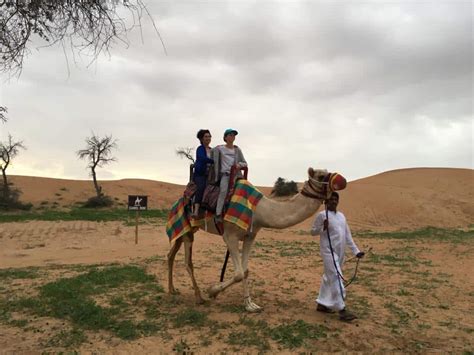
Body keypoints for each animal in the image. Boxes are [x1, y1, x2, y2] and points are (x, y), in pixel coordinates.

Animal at [168, 167, 346, 312]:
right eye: (321, 175)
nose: (342, 180)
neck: (260, 210)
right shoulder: (230, 236)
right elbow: (239, 273)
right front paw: (213, 291)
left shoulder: (250, 236)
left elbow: (245, 271)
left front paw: (249, 304)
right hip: (186, 226)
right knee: (187, 261)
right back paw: (198, 297)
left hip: (188, 229)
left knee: (171, 254)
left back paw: (172, 290)